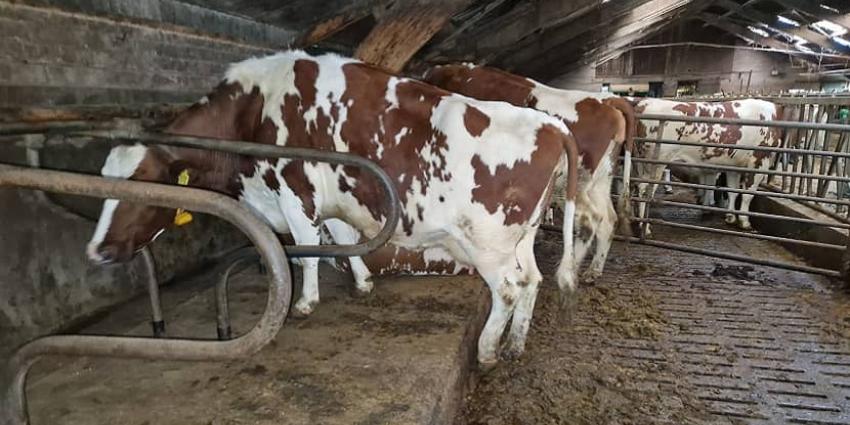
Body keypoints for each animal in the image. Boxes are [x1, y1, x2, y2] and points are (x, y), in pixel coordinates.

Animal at [85, 50, 580, 366]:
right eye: (103, 179)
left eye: (141, 185)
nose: (96, 251)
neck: (251, 113)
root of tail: (551, 125)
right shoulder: (336, 198)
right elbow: (341, 238)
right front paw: (362, 282)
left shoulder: (293, 187)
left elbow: (306, 247)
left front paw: (305, 302)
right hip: (522, 237)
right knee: (532, 280)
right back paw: (514, 345)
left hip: (487, 244)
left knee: (508, 290)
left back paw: (487, 352)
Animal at [423, 63, 635, 283]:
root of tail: (606, 101)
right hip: (601, 180)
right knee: (609, 219)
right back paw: (593, 270)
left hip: (573, 185)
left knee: (591, 220)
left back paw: (571, 269)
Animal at [630, 98, 795, 236]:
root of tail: (643, 103)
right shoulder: (759, 161)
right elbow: (748, 194)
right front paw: (744, 221)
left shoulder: (734, 166)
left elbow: (733, 191)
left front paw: (730, 217)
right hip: (655, 163)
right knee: (644, 190)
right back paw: (645, 227)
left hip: (639, 163)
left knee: (636, 186)